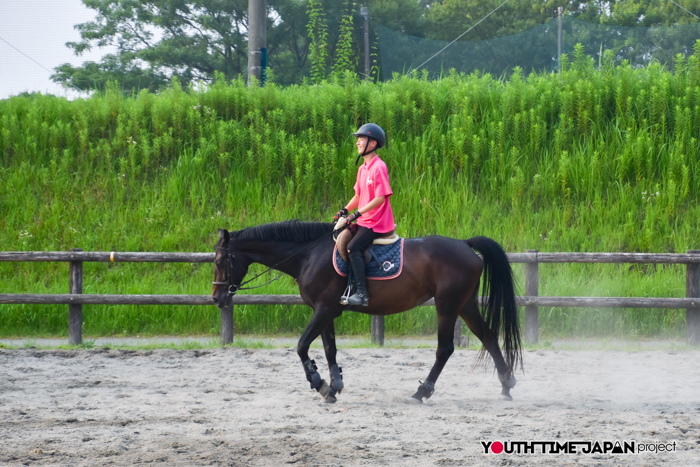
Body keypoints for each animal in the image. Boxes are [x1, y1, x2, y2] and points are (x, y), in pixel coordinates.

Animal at [212, 220, 521, 403]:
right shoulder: (327, 311)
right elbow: (329, 349)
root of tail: (465, 244)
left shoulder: (323, 309)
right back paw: (506, 384)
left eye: (219, 261)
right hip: (465, 305)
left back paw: (422, 391)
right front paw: (334, 386)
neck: (309, 255)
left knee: (445, 349)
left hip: (447, 306)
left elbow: (301, 346)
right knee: (489, 337)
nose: (216, 298)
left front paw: (318, 382)